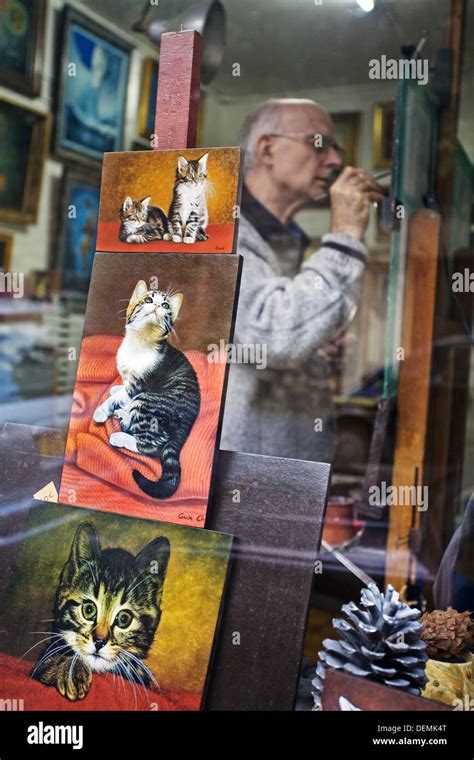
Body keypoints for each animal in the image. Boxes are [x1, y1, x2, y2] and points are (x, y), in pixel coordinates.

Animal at [93, 280, 201, 498]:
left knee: (152, 445)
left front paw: (102, 410)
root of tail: (187, 424)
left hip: (148, 400)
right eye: (148, 299)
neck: (140, 343)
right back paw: (123, 415)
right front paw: (116, 390)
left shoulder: (139, 385)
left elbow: (119, 397)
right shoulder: (129, 380)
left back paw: (120, 435)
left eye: (166, 305)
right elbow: (121, 391)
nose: (157, 305)